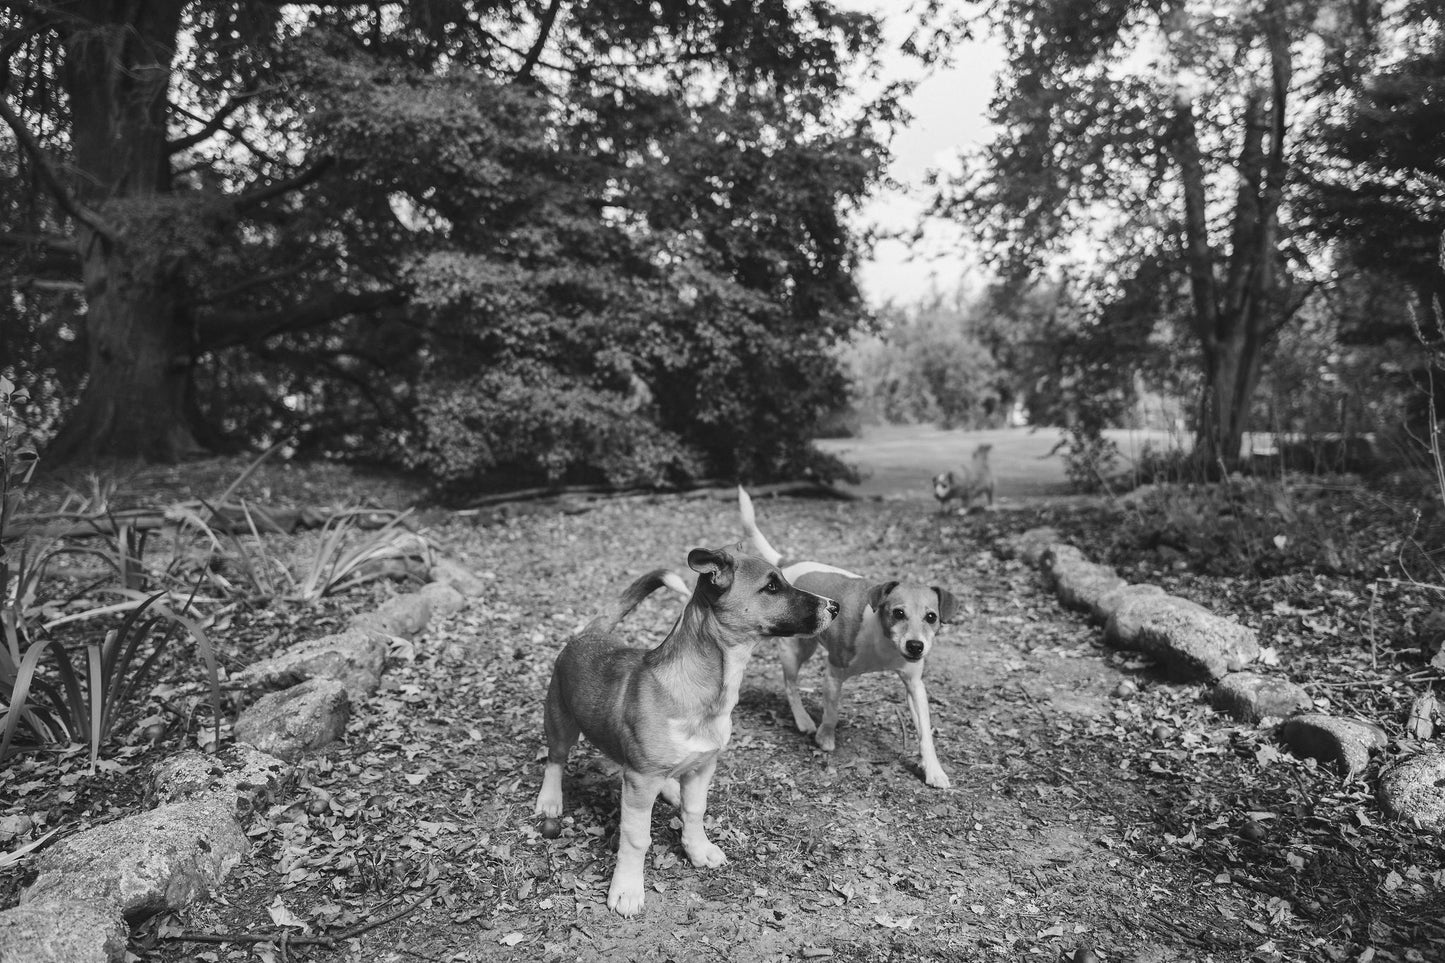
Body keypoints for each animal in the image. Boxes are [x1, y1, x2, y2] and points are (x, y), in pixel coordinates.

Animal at [537, 546, 843, 913]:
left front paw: (697, 850)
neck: (704, 690)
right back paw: (550, 799)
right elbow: (636, 838)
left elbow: (695, 812)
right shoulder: (640, 781)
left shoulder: (702, 767)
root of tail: (587, 634)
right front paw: (627, 888)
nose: (835, 606)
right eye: (771, 586)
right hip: (560, 720)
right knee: (555, 759)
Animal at [739, 482, 953, 786]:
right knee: (791, 685)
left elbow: (925, 732)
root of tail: (789, 565)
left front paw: (933, 769)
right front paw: (825, 738)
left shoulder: (914, 685)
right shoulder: (833, 673)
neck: (883, 641)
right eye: (898, 613)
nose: (915, 646)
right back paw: (803, 720)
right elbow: (831, 712)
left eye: (931, 617)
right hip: (795, 652)